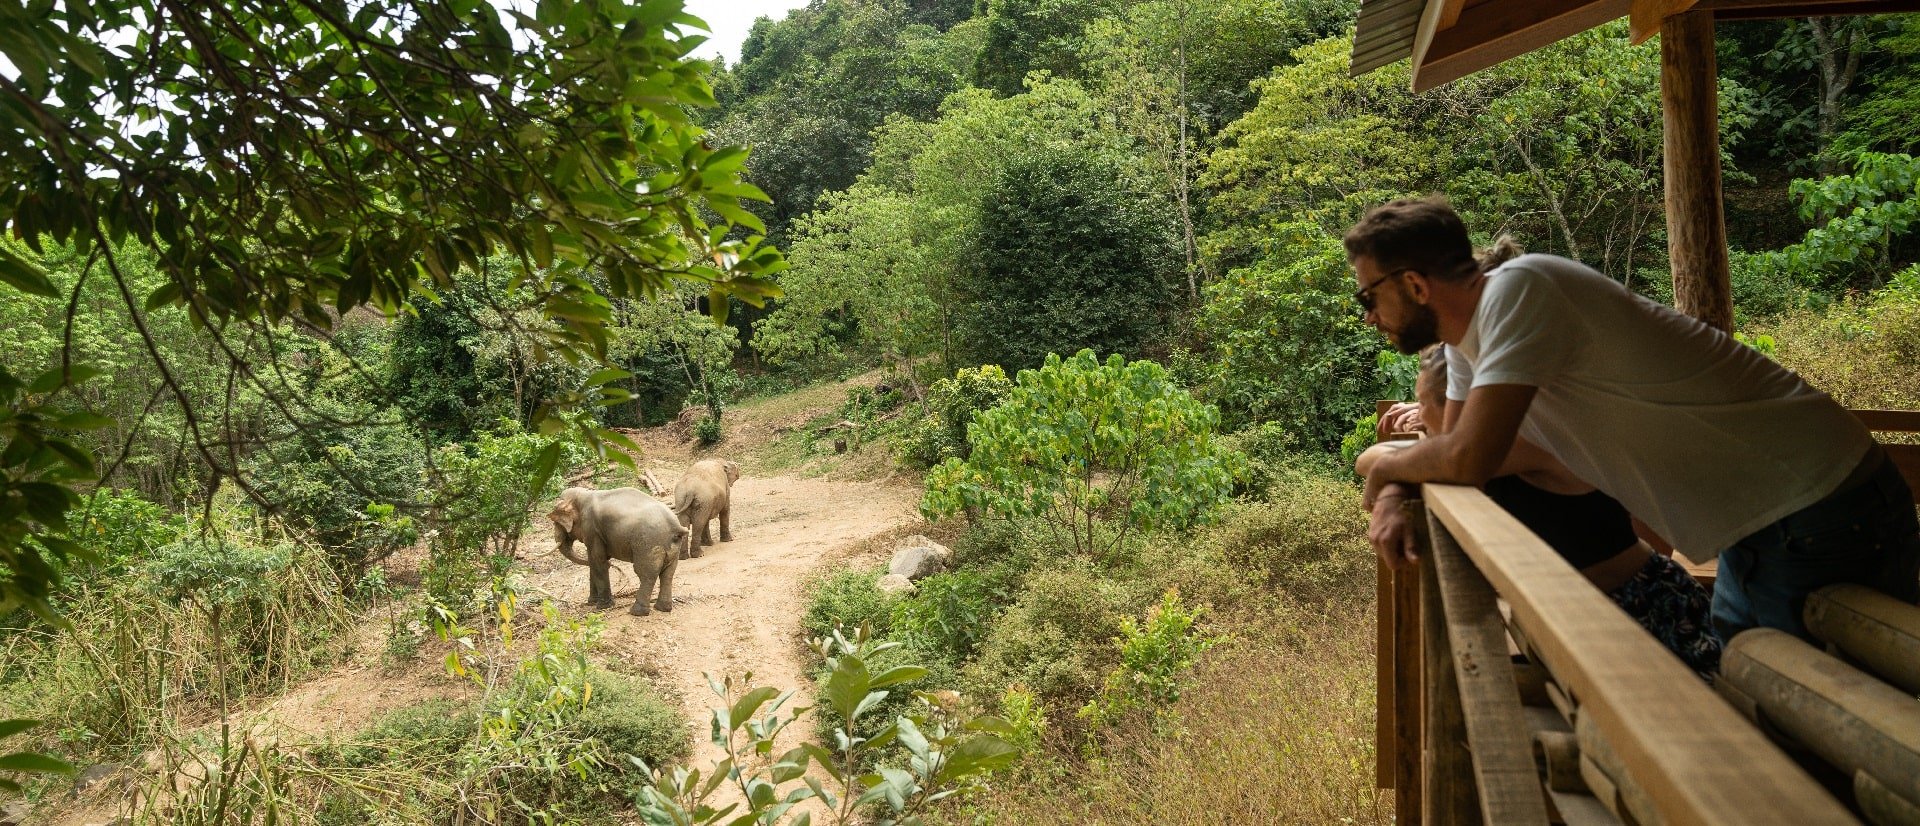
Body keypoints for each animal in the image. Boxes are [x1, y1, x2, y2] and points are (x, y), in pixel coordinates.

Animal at [547, 487, 690, 616]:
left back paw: (636, 612)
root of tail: (675, 526)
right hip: (672, 548)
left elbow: (598, 560)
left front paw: (602, 607)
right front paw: (591, 602)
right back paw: (663, 608)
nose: (611, 563)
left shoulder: (592, 529)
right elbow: (593, 561)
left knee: (646, 574)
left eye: (556, 522)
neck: (584, 494)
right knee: (668, 573)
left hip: (648, 544)